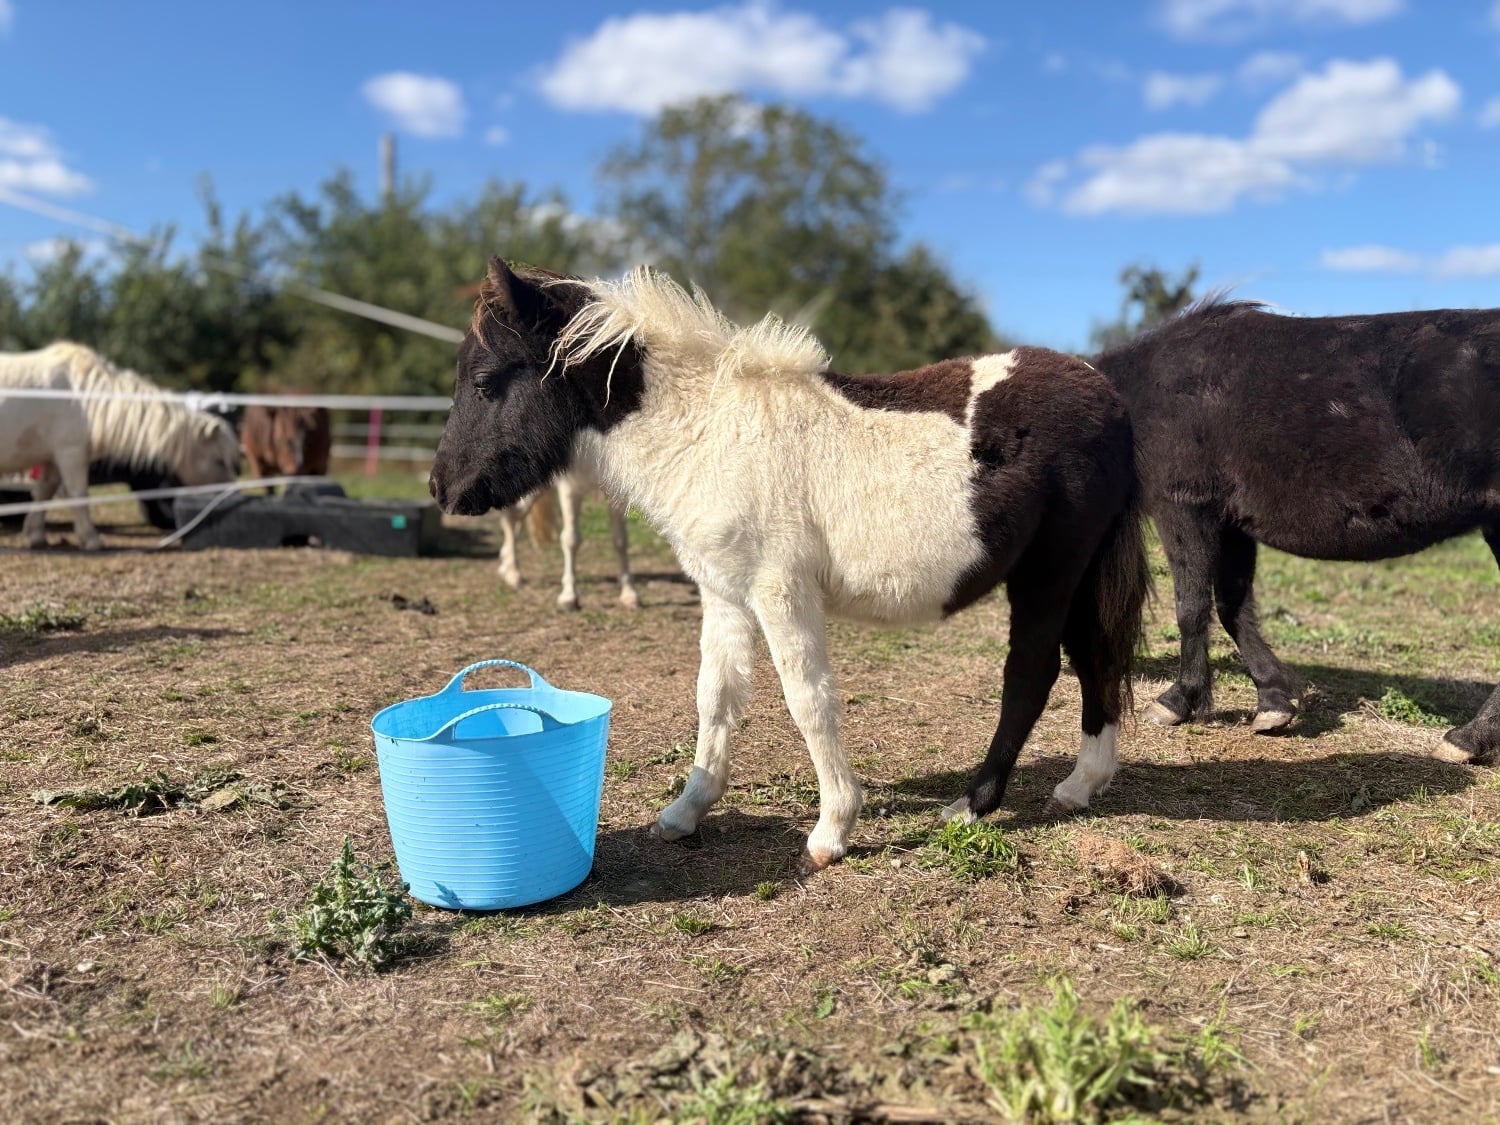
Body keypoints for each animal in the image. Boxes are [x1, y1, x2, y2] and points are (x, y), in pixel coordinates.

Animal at [0, 343, 242, 550]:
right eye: (219, 461)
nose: (232, 495)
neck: (85, 397)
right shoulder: (71, 453)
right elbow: (78, 495)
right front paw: (91, 539)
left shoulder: (54, 458)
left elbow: (43, 493)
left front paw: (36, 535)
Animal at [498, 470, 639, 611]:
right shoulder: (570, 486)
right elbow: (571, 540)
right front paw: (569, 597)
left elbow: (620, 540)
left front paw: (629, 594)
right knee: (511, 515)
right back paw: (514, 574)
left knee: (517, 516)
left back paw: (506, 565)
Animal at [1092, 298, 1500, 764]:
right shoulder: (1232, 523)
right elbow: (1233, 607)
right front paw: (1273, 701)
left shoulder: (1183, 507)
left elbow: (1191, 608)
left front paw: (1178, 700)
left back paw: (1467, 738)